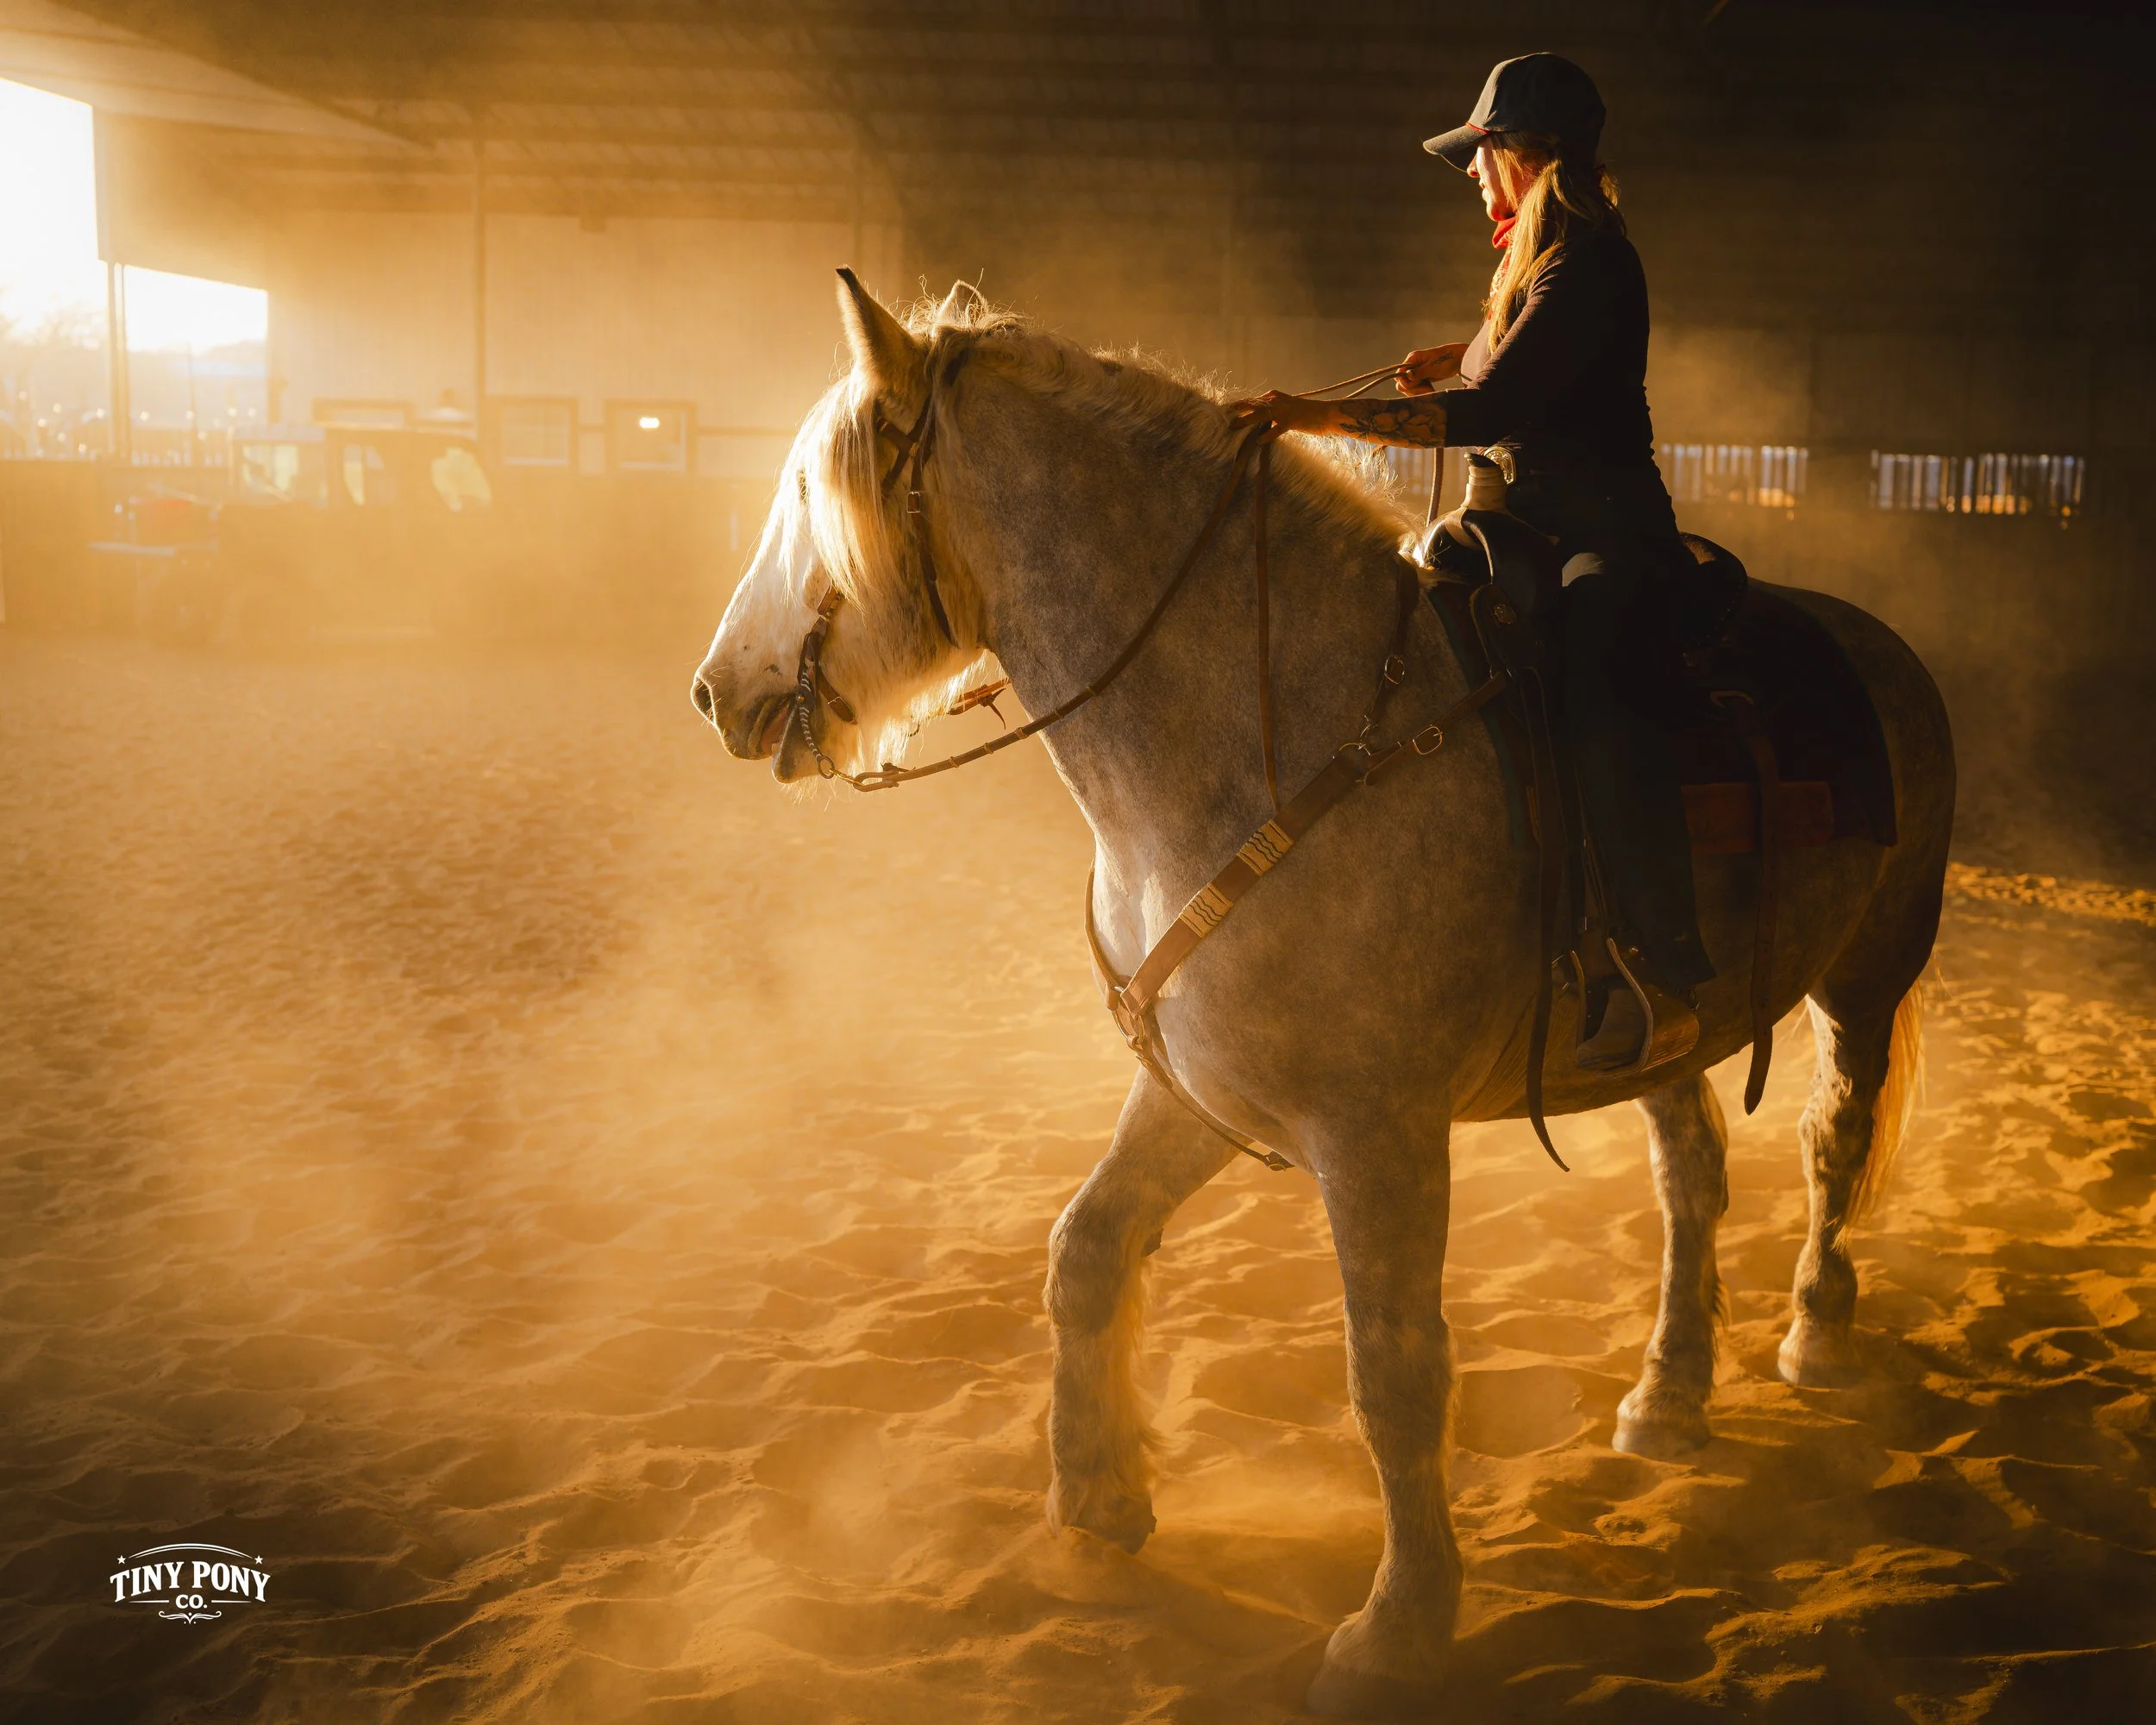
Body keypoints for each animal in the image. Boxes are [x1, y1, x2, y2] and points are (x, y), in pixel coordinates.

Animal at [690, 274, 1952, 1717]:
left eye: (809, 493)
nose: (716, 694)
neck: (1280, 732)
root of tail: (1878, 645)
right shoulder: (1195, 1091)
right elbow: (1086, 1252)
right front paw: (1096, 1506)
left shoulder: (1378, 1136)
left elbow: (1395, 1371)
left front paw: (1397, 1630)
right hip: (1665, 1034)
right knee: (1693, 1180)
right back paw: (1668, 1398)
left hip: (1869, 973)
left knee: (1831, 1146)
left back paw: (1815, 1336)